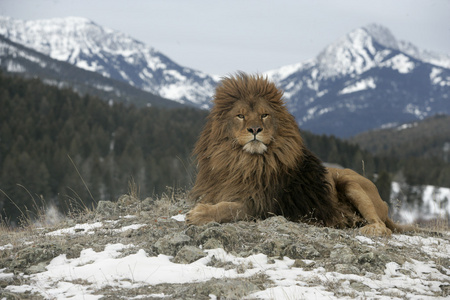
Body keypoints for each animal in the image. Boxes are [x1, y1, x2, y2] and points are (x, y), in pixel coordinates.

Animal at [186, 71, 418, 236]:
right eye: (240, 116)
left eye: (264, 115)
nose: (255, 129)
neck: (243, 162)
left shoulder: (262, 205)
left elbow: (228, 208)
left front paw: (199, 214)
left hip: (352, 183)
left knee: (383, 227)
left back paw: (366, 228)